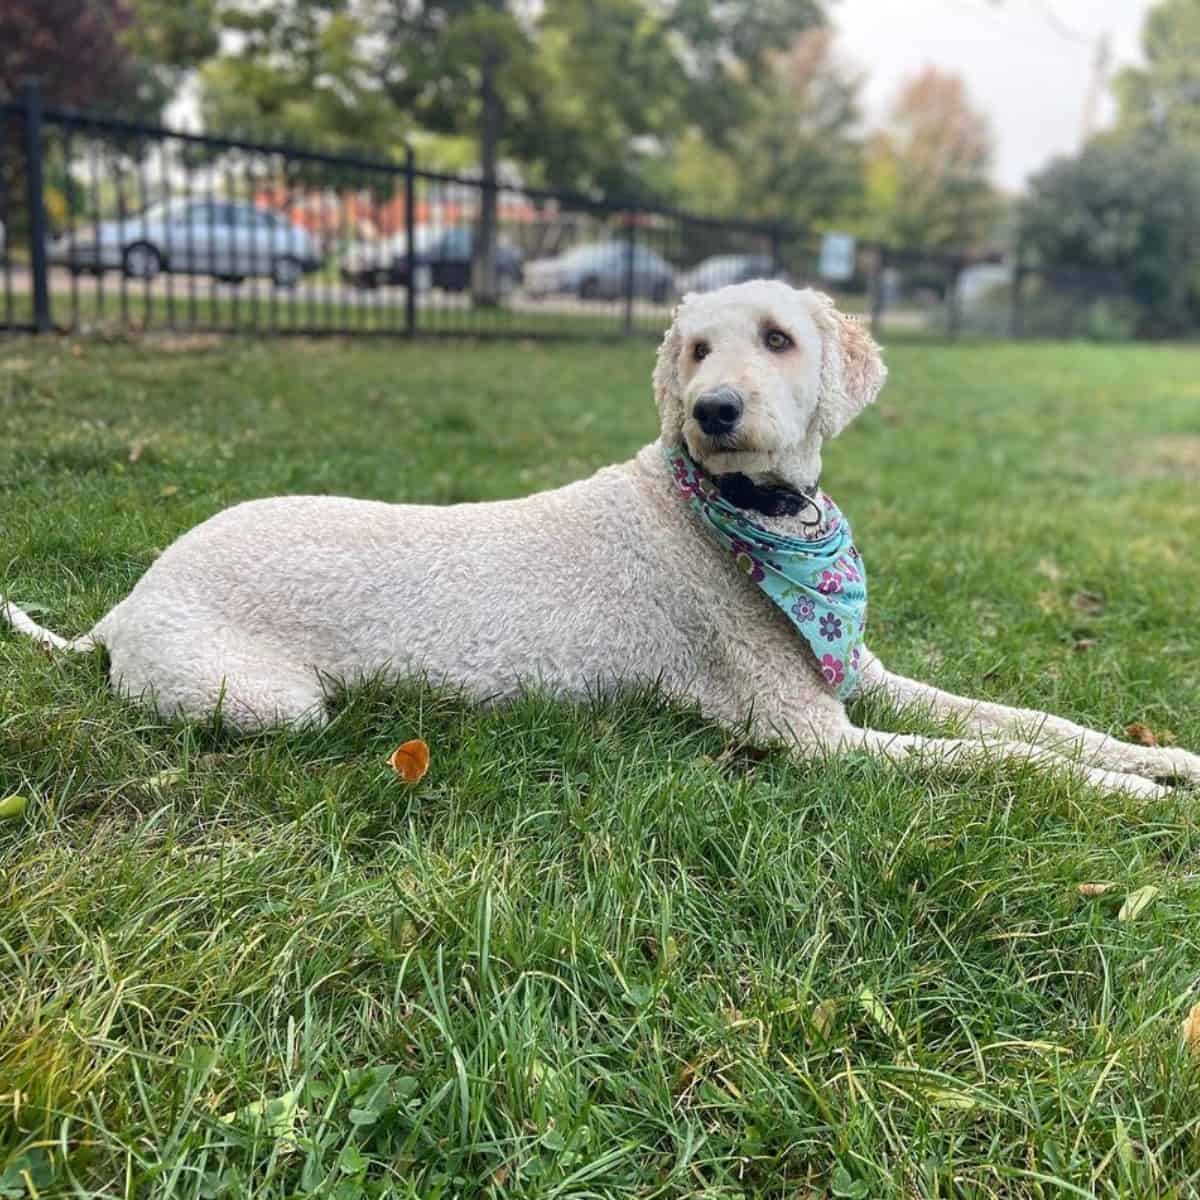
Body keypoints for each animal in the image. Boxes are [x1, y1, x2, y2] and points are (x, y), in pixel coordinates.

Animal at [2, 283, 1200, 796]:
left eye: (777, 338)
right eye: (697, 349)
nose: (712, 411)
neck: (751, 518)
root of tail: (128, 603)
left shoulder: (863, 679)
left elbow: (1029, 720)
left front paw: (1160, 757)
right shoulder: (814, 736)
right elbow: (1005, 757)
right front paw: (1132, 797)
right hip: (262, 701)